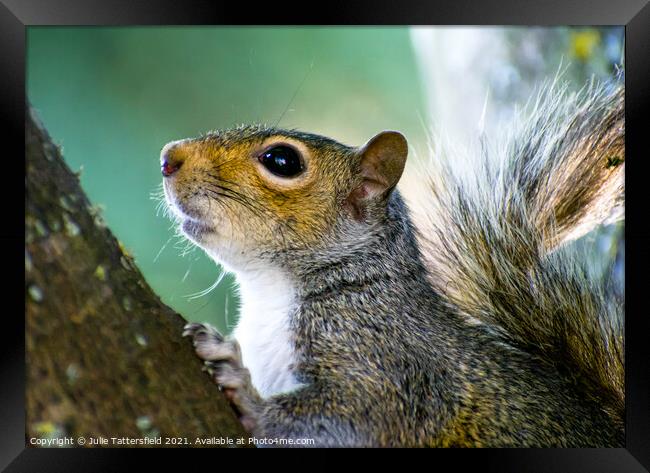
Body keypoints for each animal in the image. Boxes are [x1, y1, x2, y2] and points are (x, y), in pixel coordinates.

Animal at [158, 80, 624, 446]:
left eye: (282, 161)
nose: (168, 157)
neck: (271, 291)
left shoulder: (389, 366)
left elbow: (349, 418)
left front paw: (241, 385)